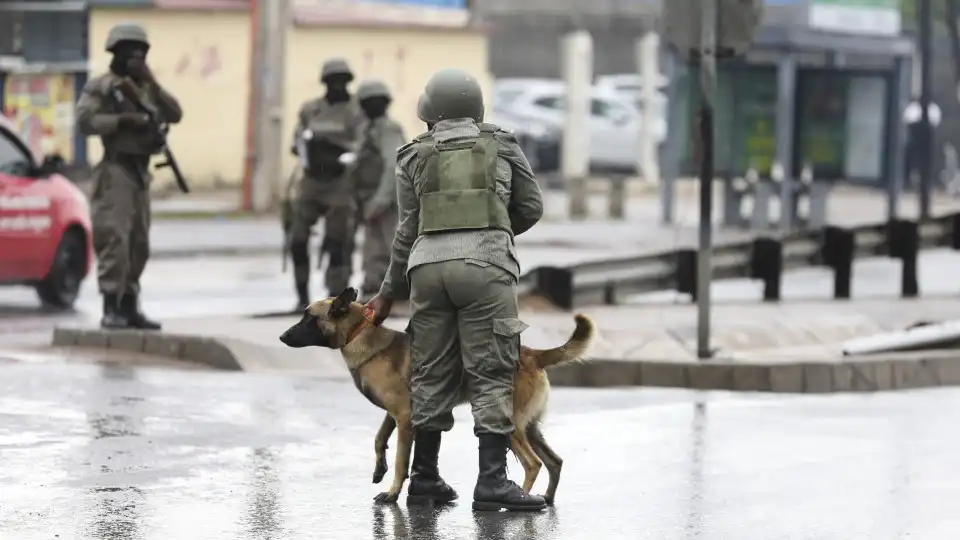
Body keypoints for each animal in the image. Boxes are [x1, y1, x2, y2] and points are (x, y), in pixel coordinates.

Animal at [278, 286, 592, 506]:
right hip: (530, 428)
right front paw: (379, 468)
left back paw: (520, 500)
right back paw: (546, 499)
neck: (359, 333)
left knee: (533, 464)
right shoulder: (395, 414)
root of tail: (533, 354)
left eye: (309, 317)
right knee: (554, 461)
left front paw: (392, 493)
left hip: (512, 425)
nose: (282, 337)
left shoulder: (405, 418)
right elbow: (379, 439)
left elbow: (402, 461)